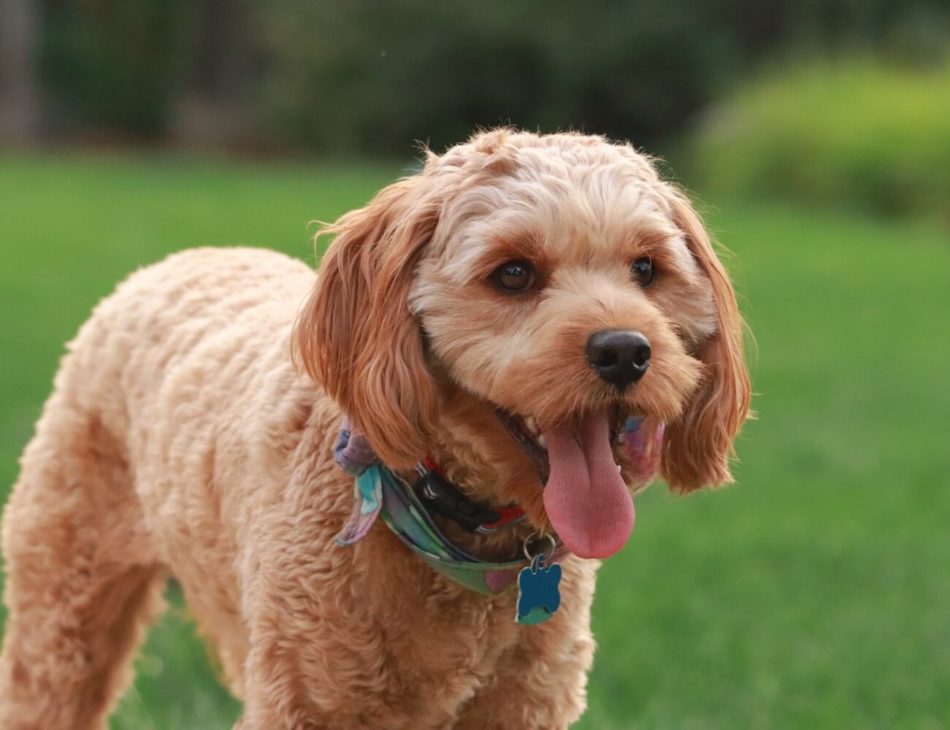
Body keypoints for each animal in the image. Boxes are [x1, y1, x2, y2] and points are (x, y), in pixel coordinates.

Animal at [0, 128, 752, 724]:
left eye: (647, 268)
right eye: (513, 273)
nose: (625, 351)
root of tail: (185, 256)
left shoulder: (525, 704)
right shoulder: (310, 699)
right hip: (62, 610)